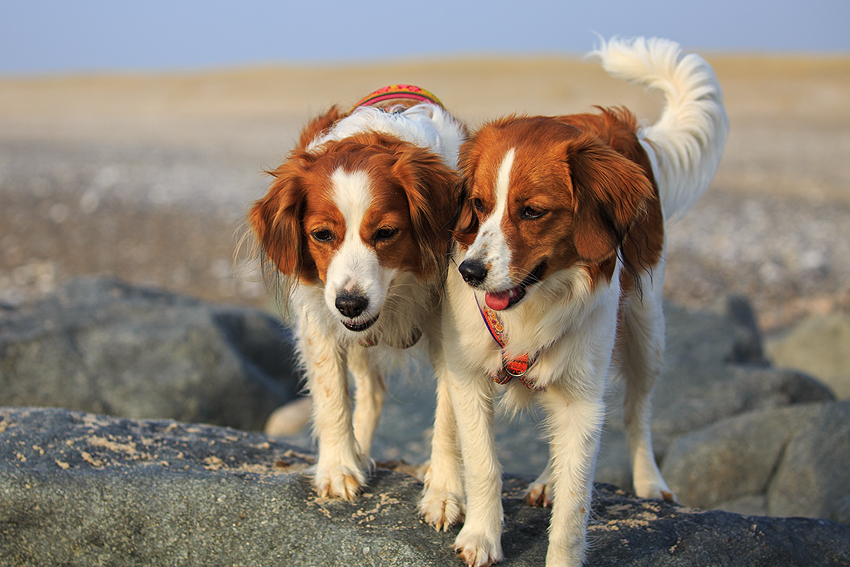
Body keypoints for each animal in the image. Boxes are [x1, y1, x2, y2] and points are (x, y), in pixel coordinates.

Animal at [248, 84, 468, 496]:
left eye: (386, 232)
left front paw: (446, 488)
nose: (350, 304)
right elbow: (332, 394)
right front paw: (339, 466)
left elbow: (451, 415)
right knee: (372, 392)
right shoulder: (319, 315)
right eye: (322, 234)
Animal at [420, 37, 728, 564]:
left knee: (636, 410)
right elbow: (483, 464)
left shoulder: (584, 396)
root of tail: (619, 123)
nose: (470, 273)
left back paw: (648, 481)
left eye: (532, 212)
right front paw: (481, 534)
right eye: (478, 205)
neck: (534, 304)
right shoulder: (470, 373)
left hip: (646, 329)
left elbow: (576, 498)